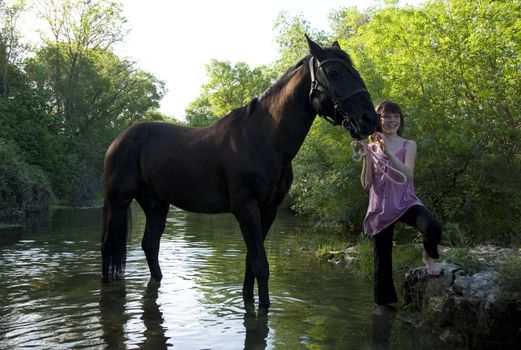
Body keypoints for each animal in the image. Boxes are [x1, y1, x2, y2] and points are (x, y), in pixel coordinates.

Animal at [101, 36, 378, 308]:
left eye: (355, 71)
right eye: (333, 72)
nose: (370, 119)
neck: (263, 140)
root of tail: (118, 140)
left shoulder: (268, 210)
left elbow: (251, 262)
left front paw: (248, 299)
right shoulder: (246, 208)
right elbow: (261, 265)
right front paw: (263, 306)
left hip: (156, 204)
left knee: (149, 245)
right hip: (119, 200)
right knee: (107, 245)